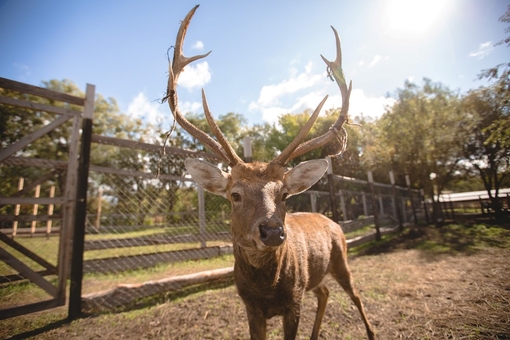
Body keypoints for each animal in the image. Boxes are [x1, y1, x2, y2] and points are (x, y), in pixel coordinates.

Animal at [165, 5, 376, 340]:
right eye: (235, 195)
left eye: (285, 194)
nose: (273, 231)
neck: (267, 291)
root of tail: (334, 221)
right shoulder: (250, 307)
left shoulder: (294, 301)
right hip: (316, 278)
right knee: (325, 291)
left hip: (341, 258)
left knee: (353, 293)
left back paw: (371, 331)